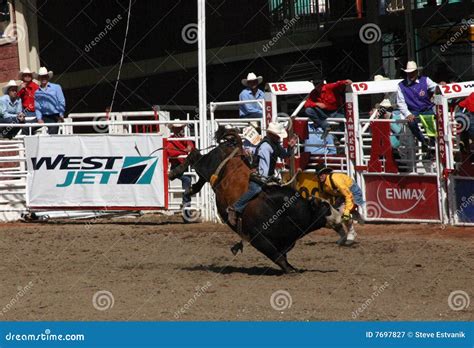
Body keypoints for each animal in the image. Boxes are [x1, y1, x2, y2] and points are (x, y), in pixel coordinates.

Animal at [168, 126, 346, 274]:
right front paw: (291, 269)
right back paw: (176, 172)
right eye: (325, 207)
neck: (287, 211)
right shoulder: (258, 238)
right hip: (207, 164)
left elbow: (283, 254)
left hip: (211, 174)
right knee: (195, 157)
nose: (341, 217)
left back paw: (192, 189)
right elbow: (277, 256)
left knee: (201, 175)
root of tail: (235, 146)